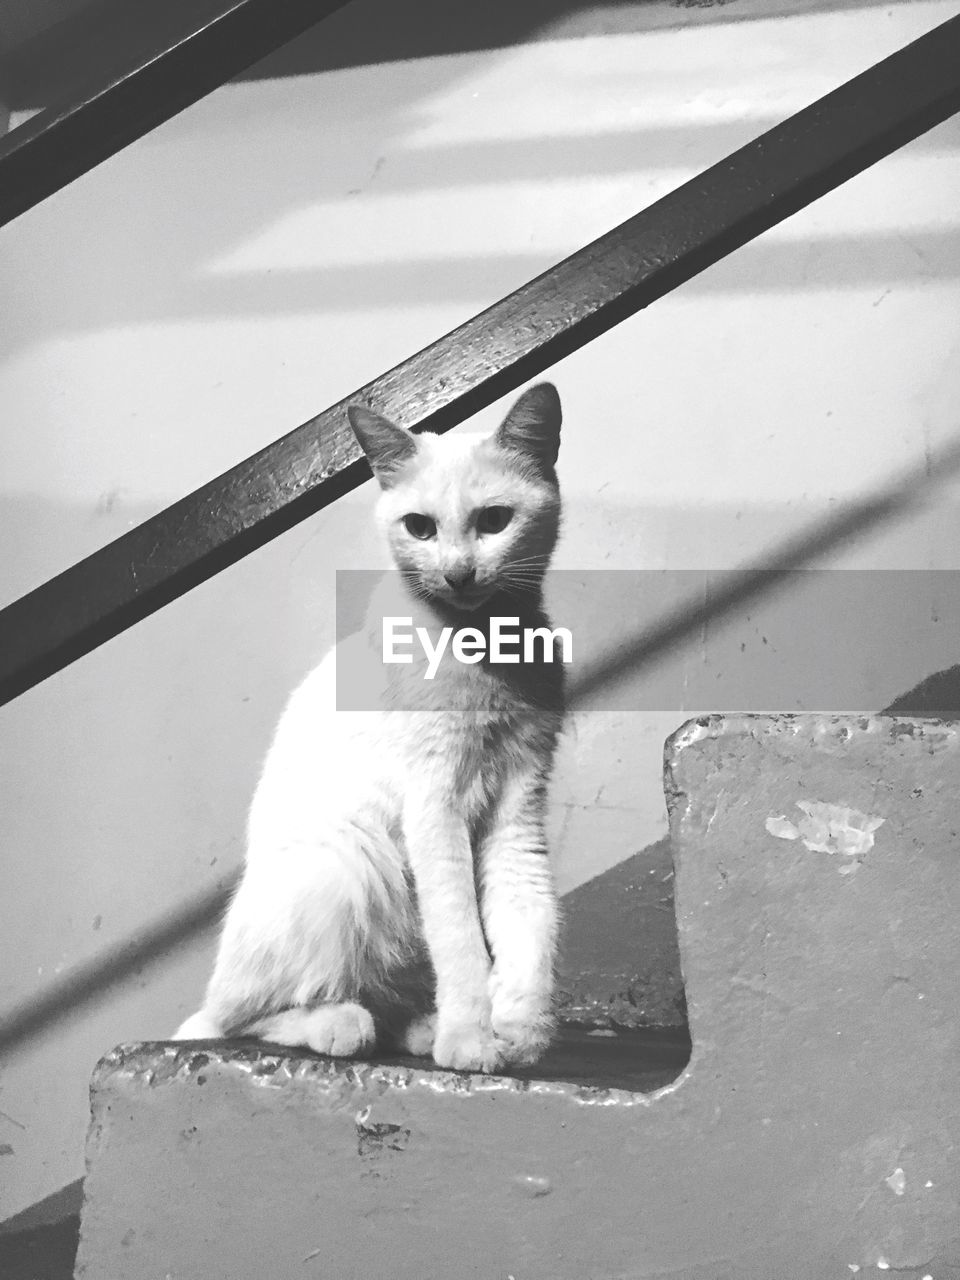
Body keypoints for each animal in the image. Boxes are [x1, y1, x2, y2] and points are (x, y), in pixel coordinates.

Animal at [175, 384, 563, 1075]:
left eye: (494, 521)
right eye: (420, 527)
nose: (458, 574)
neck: (488, 649)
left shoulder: (521, 805)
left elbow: (528, 925)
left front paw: (520, 1034)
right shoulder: (434, 808)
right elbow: (463, 939)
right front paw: (471, 1041)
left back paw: (418, 1027)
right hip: (348, 862)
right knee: (233, 1021)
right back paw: (343, 1024)